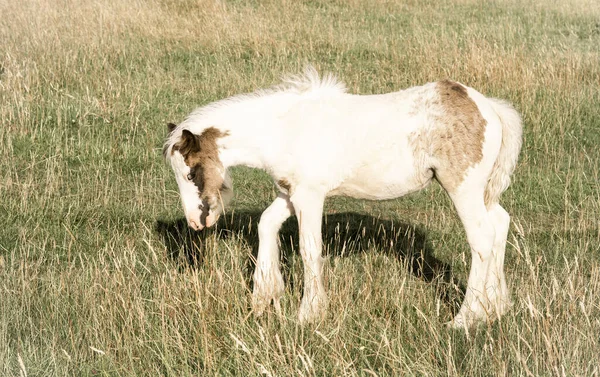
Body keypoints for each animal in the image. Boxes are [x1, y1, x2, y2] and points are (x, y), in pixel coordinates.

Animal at [163, 67, 520, 326]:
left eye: (191, 174)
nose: (196, 222)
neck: (283, 129)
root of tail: (488, 106)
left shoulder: (310, 196)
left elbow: (309, 250)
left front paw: (308, 313)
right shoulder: (290, 194)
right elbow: (266, 224)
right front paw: (264, 297)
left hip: (463, 187)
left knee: (482, 239)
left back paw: (465, 319)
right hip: (482, 191)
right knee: (500, 224)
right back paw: (497, 307)